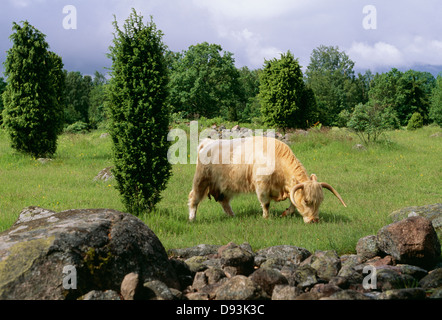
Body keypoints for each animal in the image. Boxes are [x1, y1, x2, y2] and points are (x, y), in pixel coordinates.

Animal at [188, 136, 348, 224]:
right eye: (307, 201)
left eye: (321, 201)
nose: (315, 220)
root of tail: (207, 143)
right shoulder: (262, 186)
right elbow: (265, 204)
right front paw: (266, 218)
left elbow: (292, 203)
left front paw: (285, 213)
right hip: (200, 180)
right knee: (193, 198)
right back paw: (192, 218)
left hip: (226, 186)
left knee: (224, 202)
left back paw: (233, 216)